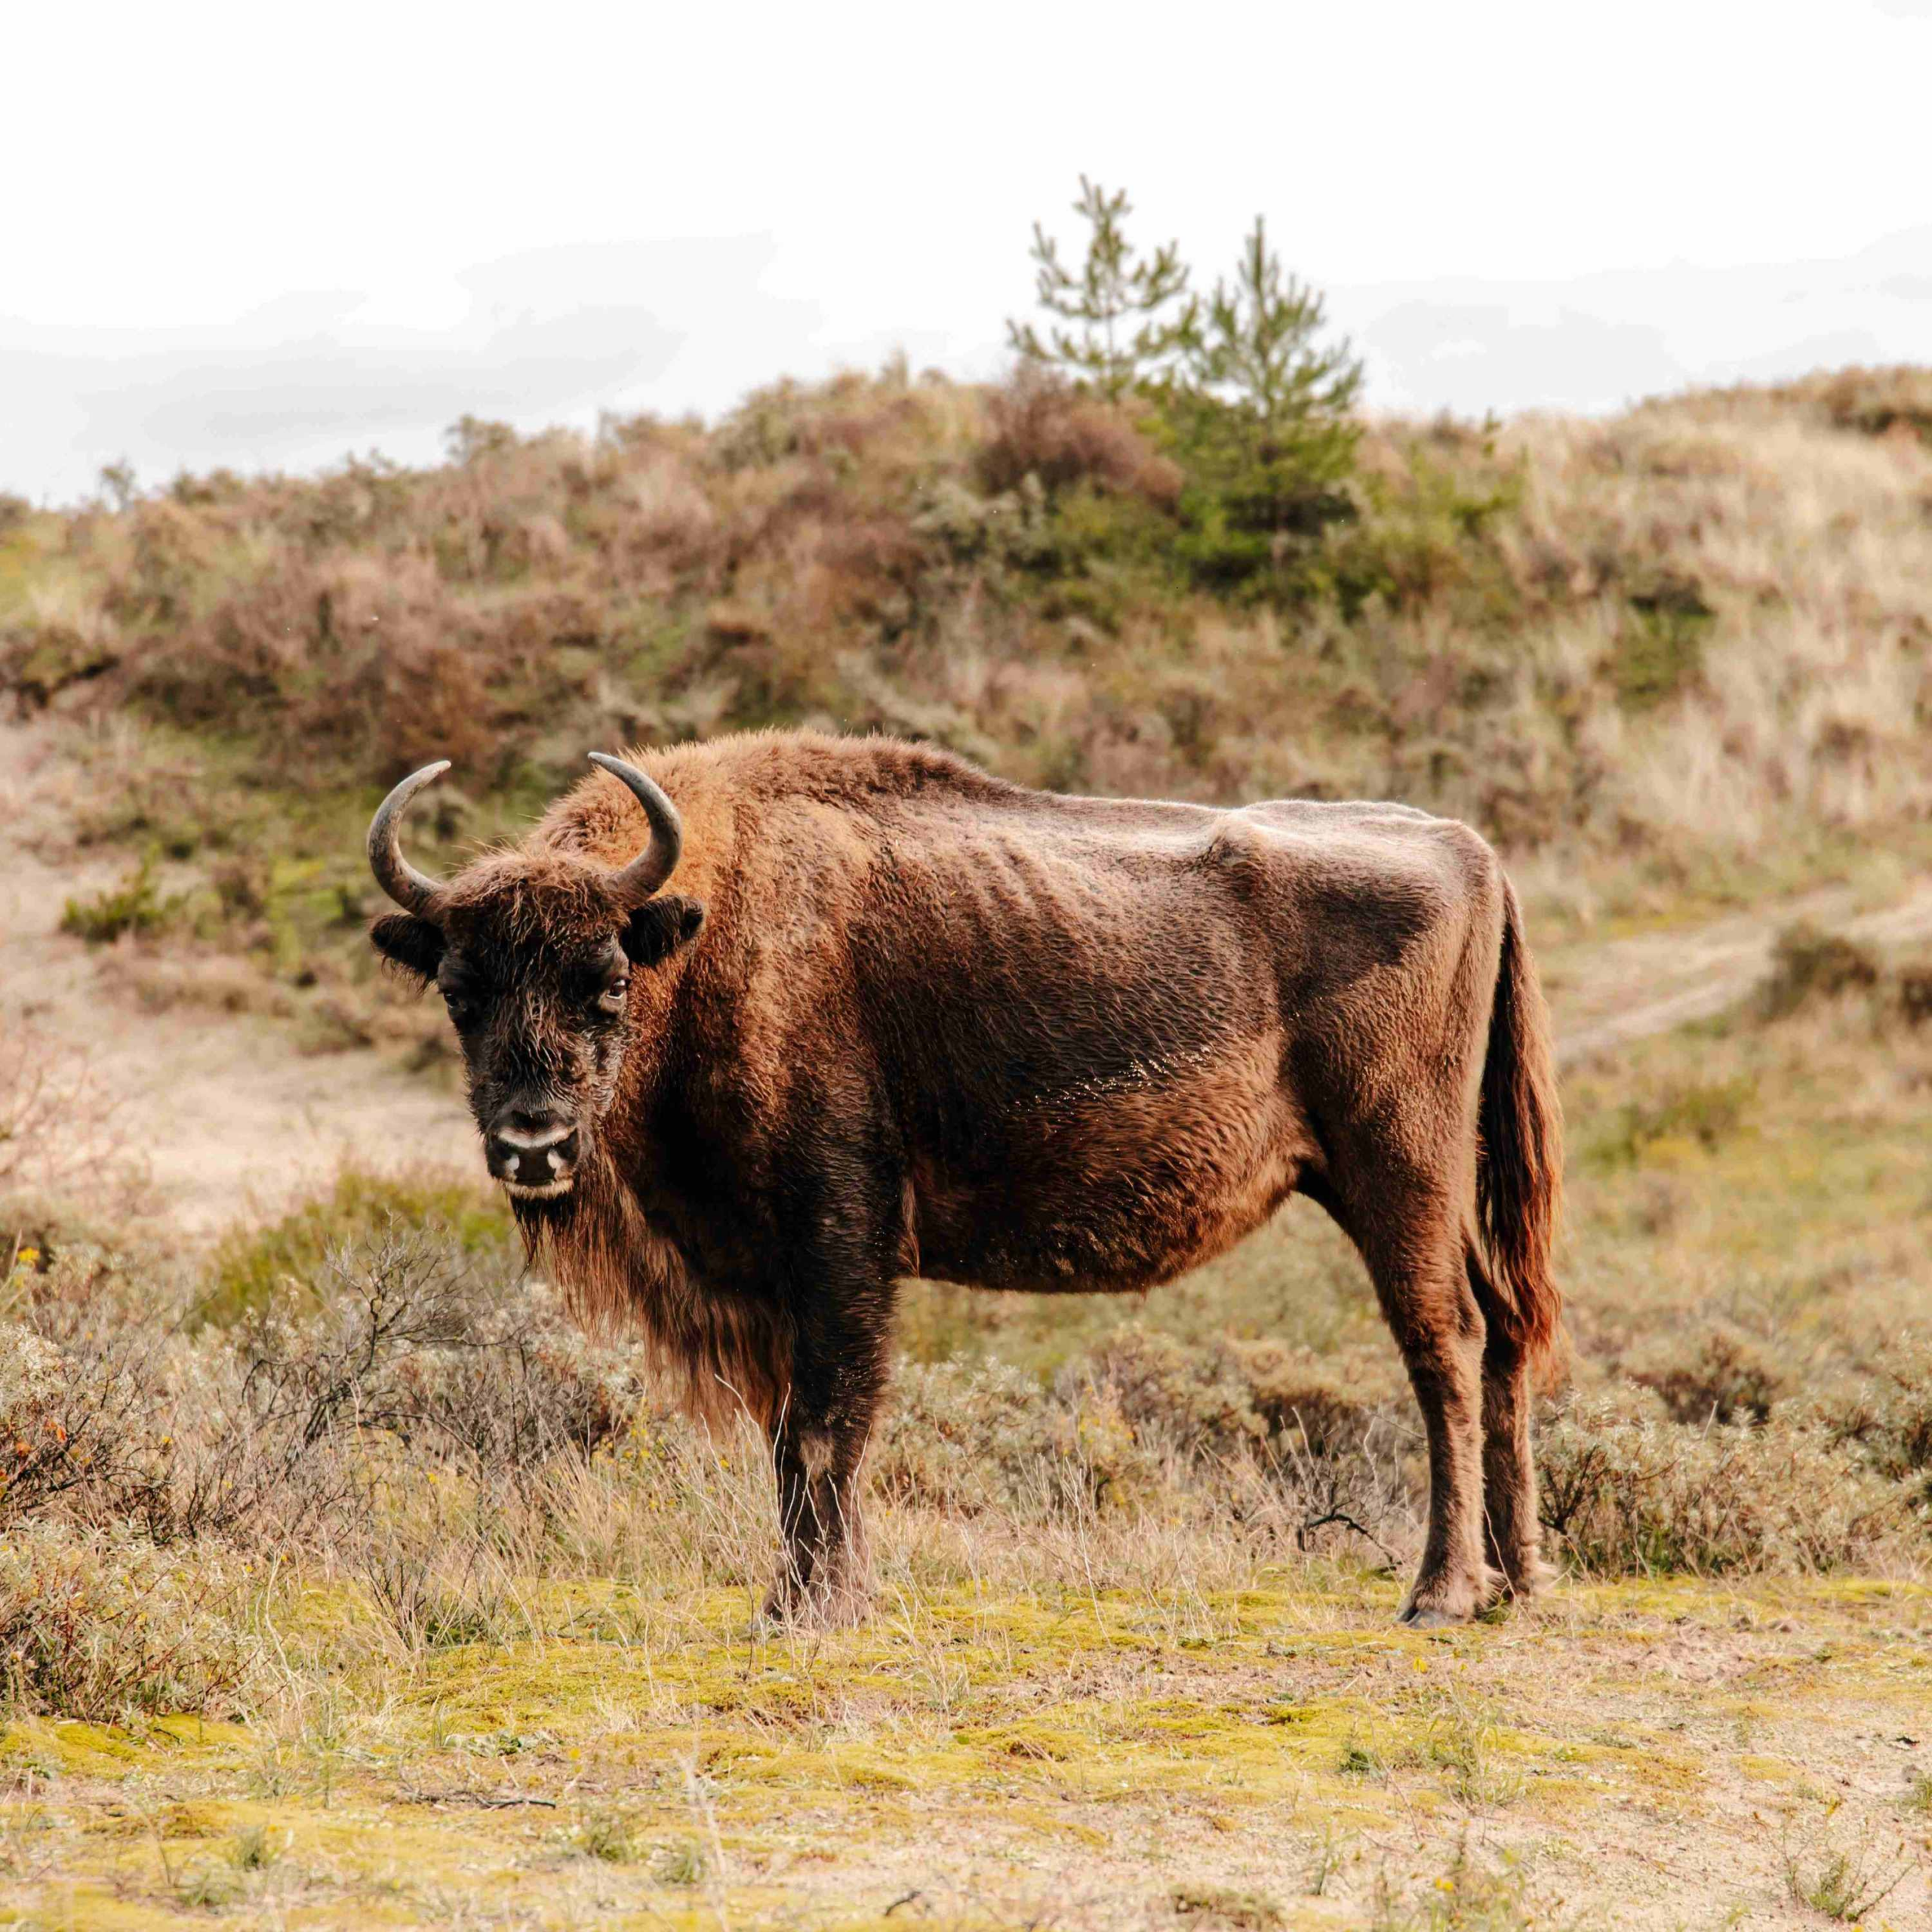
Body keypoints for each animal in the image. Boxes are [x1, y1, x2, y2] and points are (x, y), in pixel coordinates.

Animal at [368, 730, 1561, 1623]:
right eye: (459, 992)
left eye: (607, 982)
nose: (531, 1145)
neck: (710, 931)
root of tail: (1473, 851)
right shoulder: (766, 1280)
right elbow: (793, 1436)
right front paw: (820, 1597)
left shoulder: (839, 1244)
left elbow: (826, 1425)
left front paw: (809, 1609)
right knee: (1503, 1332)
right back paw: (1518, 1580)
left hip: (1396, 1173)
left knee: (1443, 1345)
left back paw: (1441, 1594)